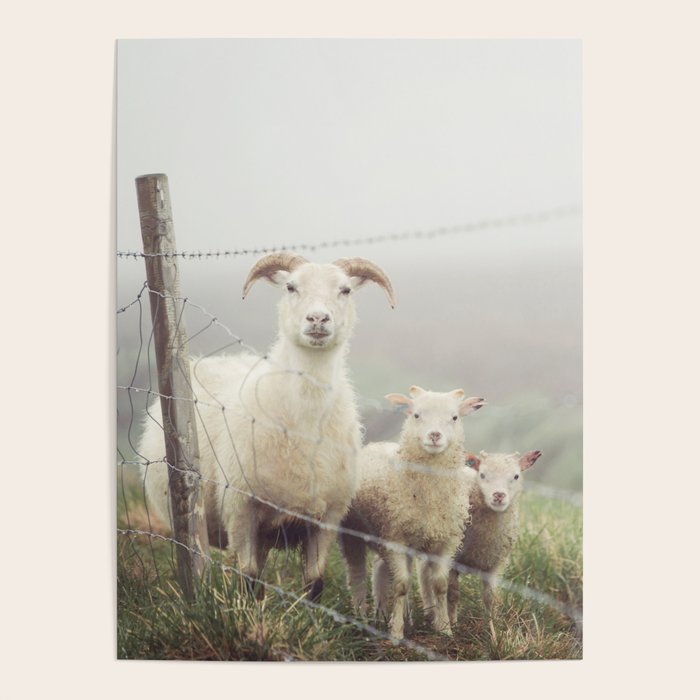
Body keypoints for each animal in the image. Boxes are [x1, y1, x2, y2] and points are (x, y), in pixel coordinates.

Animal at [138, 253, 395, 600]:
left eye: (345, 290)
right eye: (291, 287)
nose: (318, 319)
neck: (304, 420)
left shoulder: (327, 516)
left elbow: (314, 582)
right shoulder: (241, 509)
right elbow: (247, 576)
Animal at [339, 386, 485, 638]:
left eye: (454, 417)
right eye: (416, 415)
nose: (435, 435)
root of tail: (375, 445)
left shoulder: (446, 541)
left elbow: (440, 585)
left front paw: (444, 628)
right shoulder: (395, 538)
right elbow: (401, 585)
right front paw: (396, 632)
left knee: (381, 569)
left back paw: (391, 615)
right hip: (353, 532)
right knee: (357, 574)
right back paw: (361, 615)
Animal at [443, 449, 542, 625]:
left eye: (516, 476)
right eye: (482, 474)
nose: (498, 495)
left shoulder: (494, 565)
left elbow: (490, 598)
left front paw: (492, 628)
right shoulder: (453, 559)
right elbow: (453, 595)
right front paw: (452, 625)